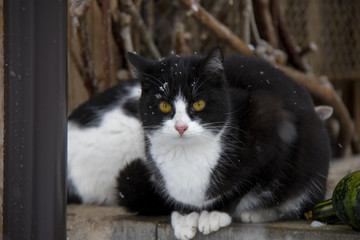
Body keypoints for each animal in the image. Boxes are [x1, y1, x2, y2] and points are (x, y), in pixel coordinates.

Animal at [67, 47, 330, 240]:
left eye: (199, 104)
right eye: (164, 106)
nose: (181, 127)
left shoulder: (271, 129)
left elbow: (244, 182)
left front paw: (214, 213)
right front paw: (186, 216)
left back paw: (256, 213)